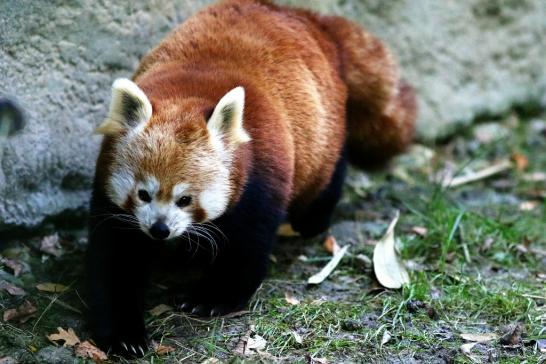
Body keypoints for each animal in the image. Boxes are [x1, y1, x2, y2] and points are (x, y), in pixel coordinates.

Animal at [87, 0, 414, 356]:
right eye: (143, 194)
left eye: (185, 199)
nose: (159, 230)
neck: (189, 92)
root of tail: (310, 18)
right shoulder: (111, 190)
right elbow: (116, 259)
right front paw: (124, 334)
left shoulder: (260, 176)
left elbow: (247, 245)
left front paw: (211, 297)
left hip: (324, 129)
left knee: (328, 172)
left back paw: (313, 220)